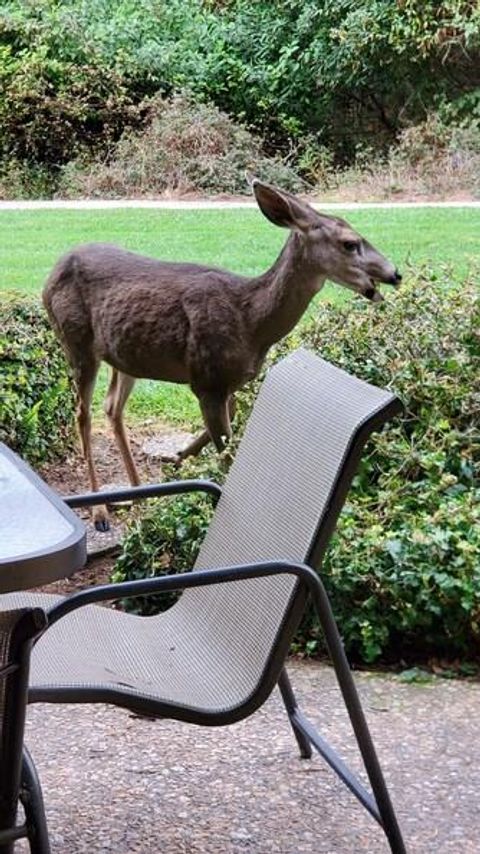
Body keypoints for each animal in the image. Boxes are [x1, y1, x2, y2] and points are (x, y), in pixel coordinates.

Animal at [42, 181, 402, 528]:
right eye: (349, 243)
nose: (395, 273)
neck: (251, 322)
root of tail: (51, 273)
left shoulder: (230, 383)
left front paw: (178, 459)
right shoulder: (207, 379)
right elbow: (227, 454)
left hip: (125, 355)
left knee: (112, 407)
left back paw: (139, 496)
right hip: (76, 340)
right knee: (83, 414)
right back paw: (100, 511)